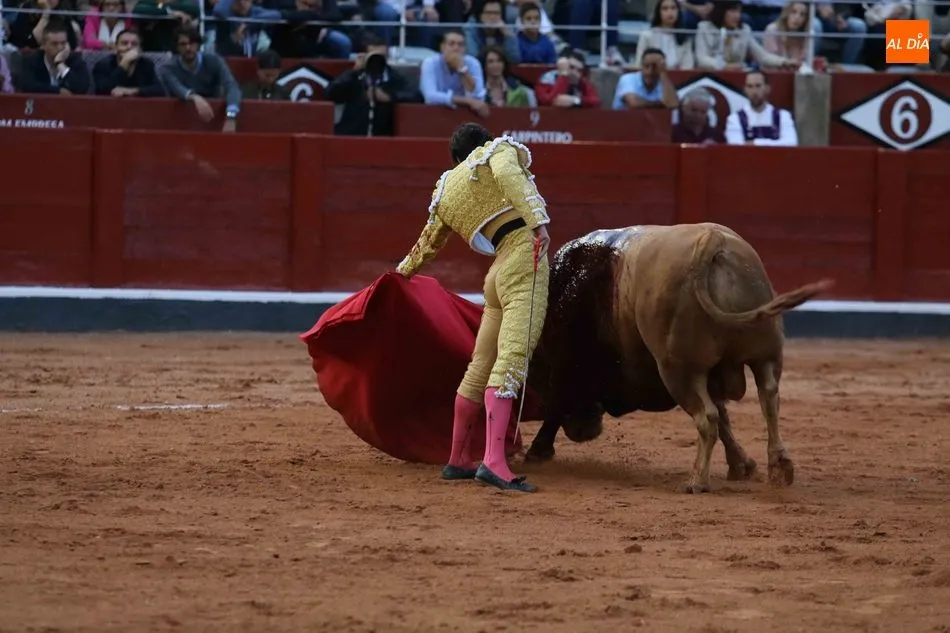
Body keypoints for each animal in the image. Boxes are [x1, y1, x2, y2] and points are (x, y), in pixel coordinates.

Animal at [522, 223, 833, 493]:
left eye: (538, 370)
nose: (583, 430)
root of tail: (712, 241)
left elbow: (556, 406)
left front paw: (538, 450)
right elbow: (725, 417)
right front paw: (742, 466)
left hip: (679, 370)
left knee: (706, 417)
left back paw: (697, 481)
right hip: (765, 354)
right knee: (768, 398)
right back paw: (780, 466)